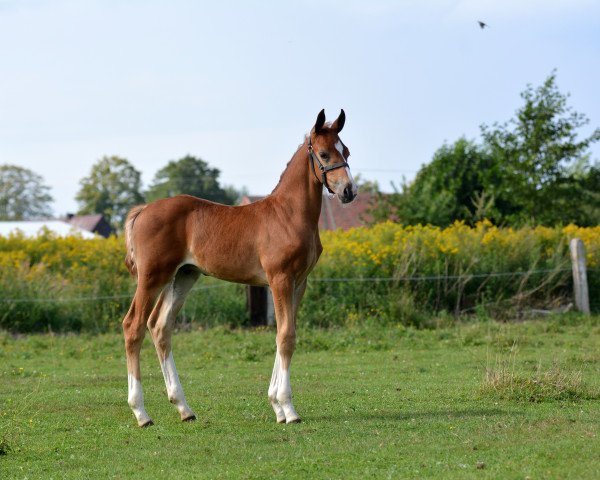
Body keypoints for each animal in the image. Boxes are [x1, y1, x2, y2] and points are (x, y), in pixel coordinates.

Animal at [122, 109, 356, 428]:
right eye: (323, 153)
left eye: (346, 151)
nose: (348, 191)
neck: (288, 214)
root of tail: (143, 210)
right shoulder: (280, 279)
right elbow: (286, 337)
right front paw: (288, 409)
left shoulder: (299, 283)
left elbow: (284, 333)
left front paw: (277, 407)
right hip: (152, 276)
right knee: (133, 326)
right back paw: (141, 413)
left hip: (183, 276)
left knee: (160, 326)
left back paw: (184, 408)